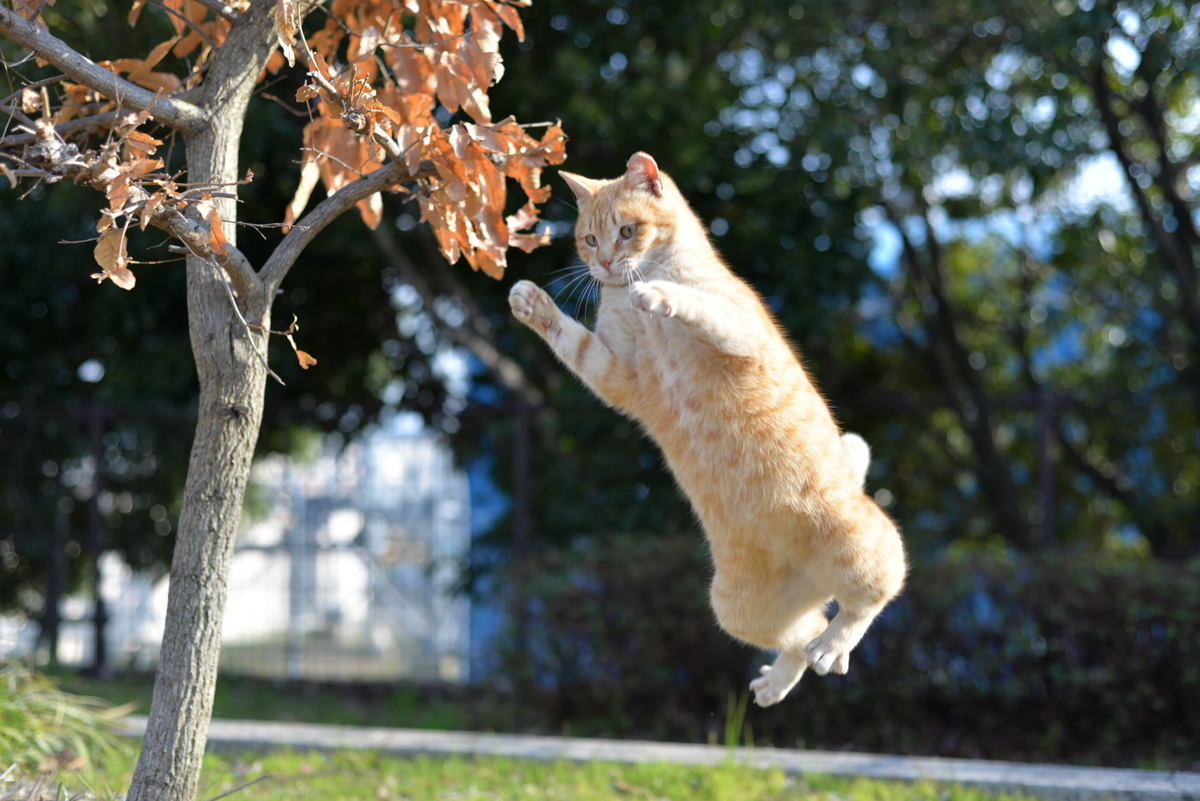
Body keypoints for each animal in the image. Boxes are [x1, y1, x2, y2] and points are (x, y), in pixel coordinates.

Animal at [508, 153, 907, 705]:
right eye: (589, 239)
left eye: (627, 231)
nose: (604, 264)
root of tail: (813, 581)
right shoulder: (616, 373)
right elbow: (573, 340)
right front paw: (532, 304)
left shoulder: (739, 330)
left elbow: (698, 305)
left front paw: (659, 295)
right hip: (735, 610)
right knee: (802, 638)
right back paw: (777, 683)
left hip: (859, 543)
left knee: (870, 598)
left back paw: (835, 648)